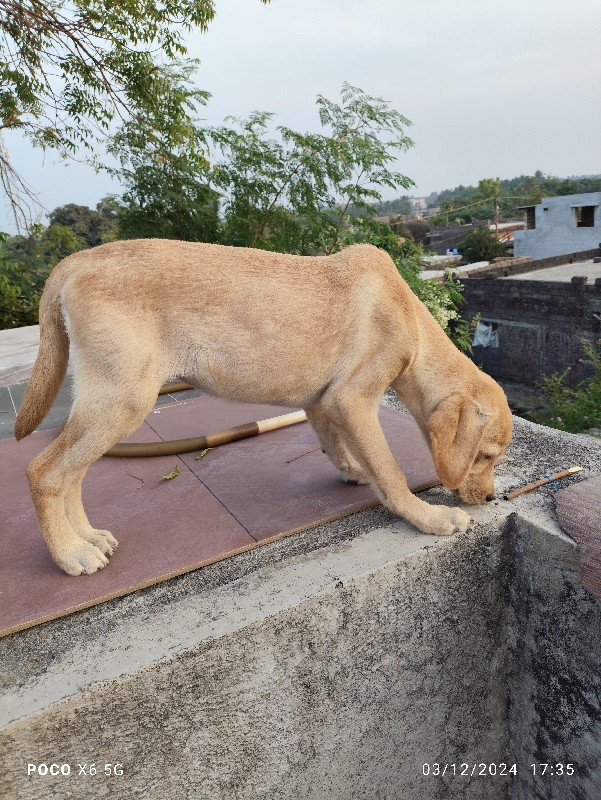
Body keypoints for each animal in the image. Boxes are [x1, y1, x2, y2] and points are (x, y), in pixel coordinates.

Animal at [15, 239, 510, 576]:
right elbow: (391, 472)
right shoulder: (352, 398)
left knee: (72, 474)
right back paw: (68, 553)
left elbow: (337, 445)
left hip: (104, 400)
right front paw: (427, 517)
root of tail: (77, 260)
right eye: (485, 456)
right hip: (125, 398)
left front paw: (353, 469)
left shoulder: (322, 402)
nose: (490, 498)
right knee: (43, 472)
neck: (412, 322)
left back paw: (85, 537)